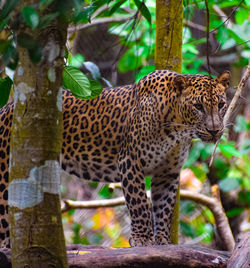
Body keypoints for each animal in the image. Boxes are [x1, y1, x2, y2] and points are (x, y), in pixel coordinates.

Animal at [0, 69, 230, 247]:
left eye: (221, 105)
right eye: (198, 106)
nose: (214, 130)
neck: (177, 129)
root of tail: (7, 107)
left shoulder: (167, 172)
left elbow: (164, 208)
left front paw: (163, 241)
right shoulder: (130, 162)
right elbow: (139, 203)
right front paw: (142, 240)